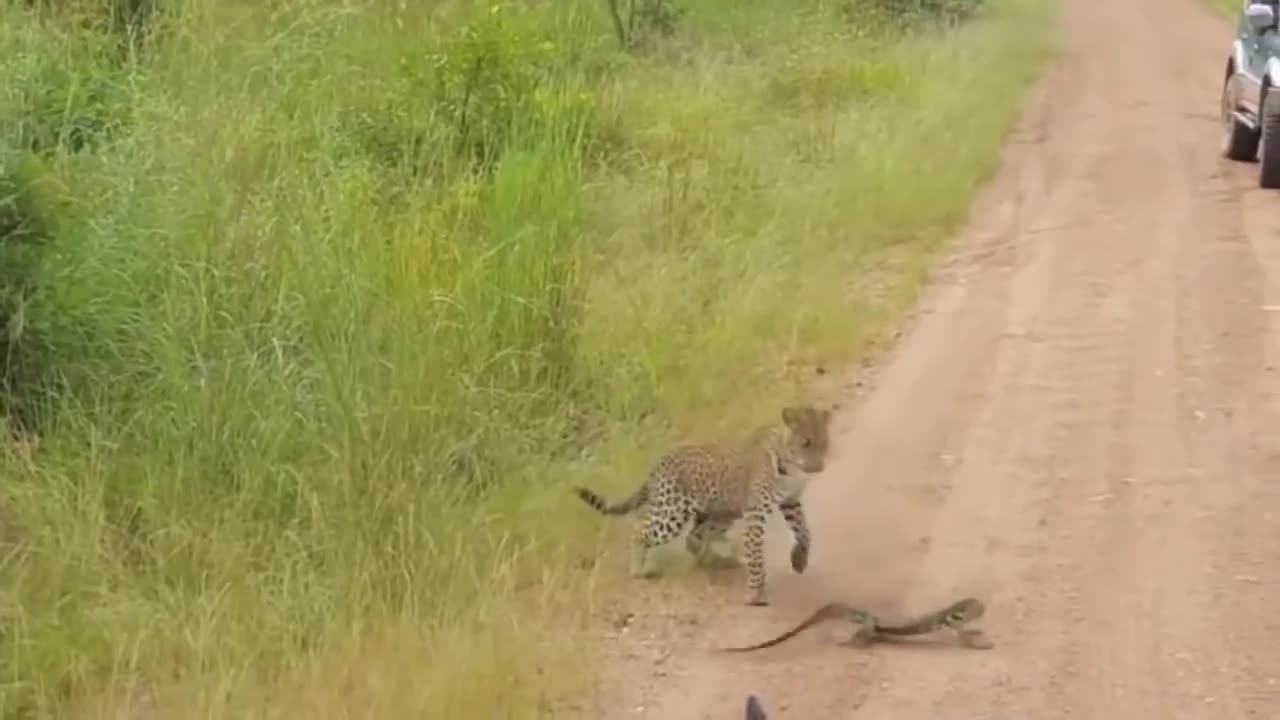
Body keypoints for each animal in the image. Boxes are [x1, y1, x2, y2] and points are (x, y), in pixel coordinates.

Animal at [573, 404, 829, 604]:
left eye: (824, 443)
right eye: (805, 443)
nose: (818, 467)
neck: (792, 467)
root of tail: (659, 462)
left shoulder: (791, 501)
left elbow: (805, 532)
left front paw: (799, 560)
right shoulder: (756, 512)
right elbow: (756, 553)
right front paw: (756, 593)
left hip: (721, 511)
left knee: (695, 536)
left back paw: (716, 560)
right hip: (673, 512)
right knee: (641, 530)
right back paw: (638, 570)